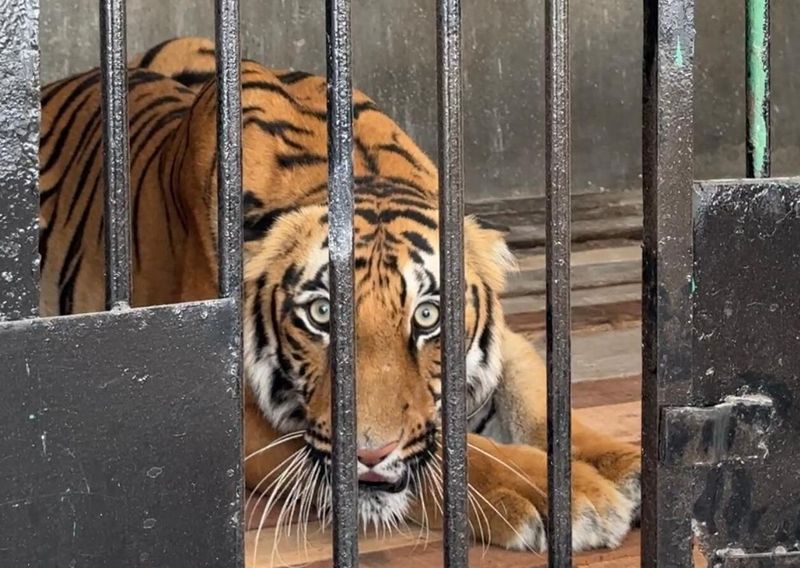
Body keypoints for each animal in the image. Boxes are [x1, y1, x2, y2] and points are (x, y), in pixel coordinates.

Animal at [39, 36, 641, 553]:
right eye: (321, 314)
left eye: (428, 316)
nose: (369, 453)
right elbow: (451, 451)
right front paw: (562, 494)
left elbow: (539, 399)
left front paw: (623, 465)